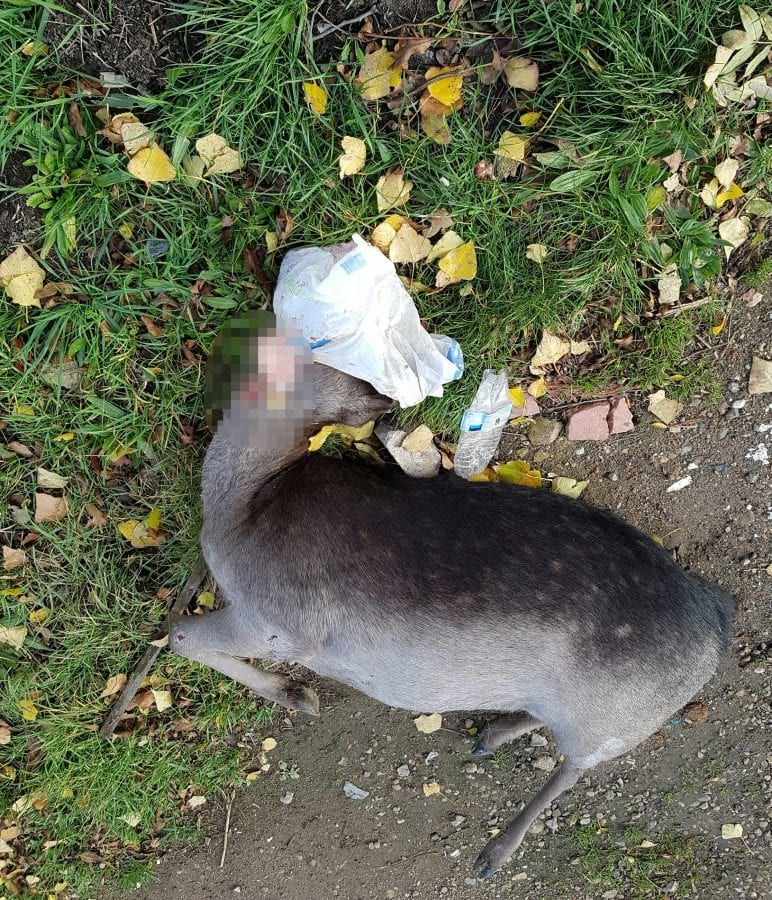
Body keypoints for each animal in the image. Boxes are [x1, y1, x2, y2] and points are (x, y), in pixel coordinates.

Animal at [170, 312, 736, 880]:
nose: (228, 345)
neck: (240, 504)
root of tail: (717, 613)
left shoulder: (283, 623)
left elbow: (179, 636)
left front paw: (295, 694)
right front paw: (295, 694)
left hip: (618, 717)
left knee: (574, 766)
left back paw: (495, 848)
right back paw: (491, 735)